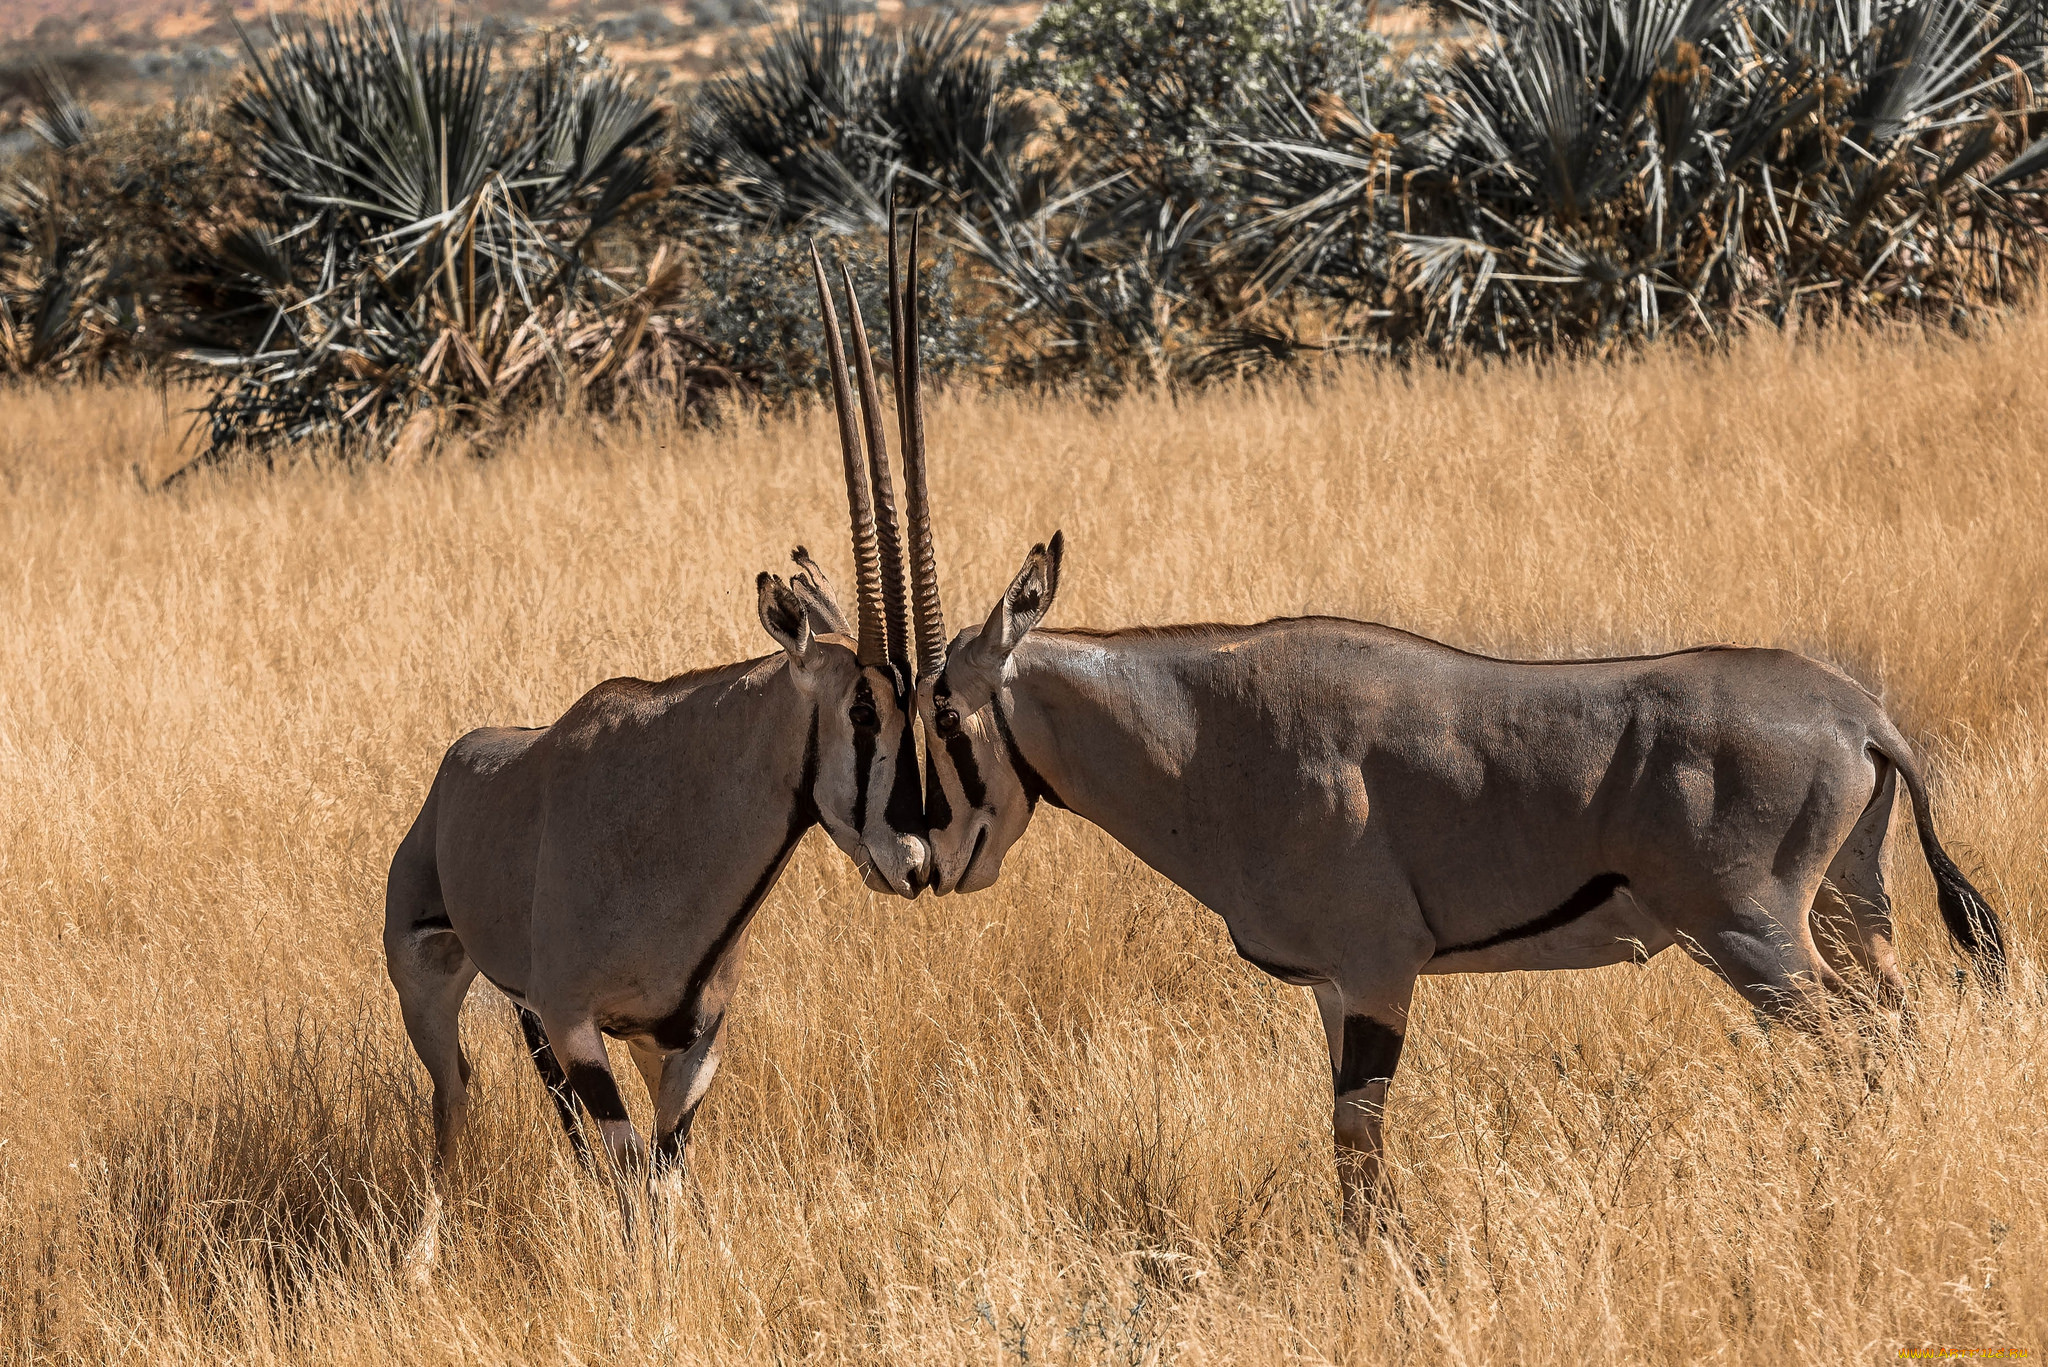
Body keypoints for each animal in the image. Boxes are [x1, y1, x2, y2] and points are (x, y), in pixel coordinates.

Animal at [382, 249, 929, 1180]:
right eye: (861, 707)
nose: (918, 860)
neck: (678, 817)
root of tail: (456, 768)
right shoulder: (576, 1023)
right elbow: (634, 1179)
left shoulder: (688, 1039)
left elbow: (664, 1173)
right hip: (432, 988)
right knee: (452, 1098)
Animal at [876, 224, 1998, 1229]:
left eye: (941, 708)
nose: (915, 861)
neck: (1203, 729)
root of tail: (1860, 715)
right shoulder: (1333, 987)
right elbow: (1346, 1153)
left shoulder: (1378, 967)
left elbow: (1359, 1148)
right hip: (1849, 908)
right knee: (1896, 1026)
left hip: (1750, 934)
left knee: (1855, 1042)